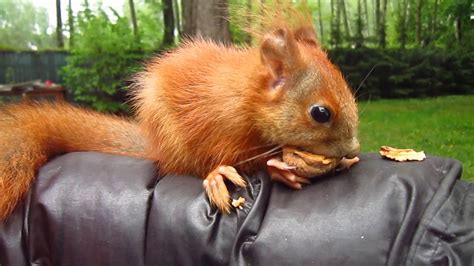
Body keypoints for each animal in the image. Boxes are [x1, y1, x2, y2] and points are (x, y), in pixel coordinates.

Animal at [0, 5, 358, 219]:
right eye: (320, 113)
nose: (353, 147)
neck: (245, 99)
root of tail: (155, 146)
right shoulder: (220, 131)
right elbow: (241, 159)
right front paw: (278, 168)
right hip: (173, 141)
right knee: (187, 165)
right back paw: (216, 177)